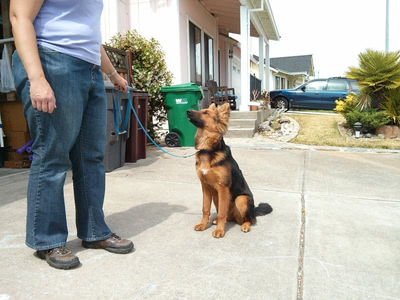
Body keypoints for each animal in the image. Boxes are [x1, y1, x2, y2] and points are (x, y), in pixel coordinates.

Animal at [187, 103, 272, 239]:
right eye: (201, 110)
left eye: (206, 113)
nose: (188, 111)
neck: (208, 150)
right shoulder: (205, 186)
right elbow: (205, 209)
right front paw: (203, 225)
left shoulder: (223, 188)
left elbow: (222, 212)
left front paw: (219, 230)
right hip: (216, 197)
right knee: (228, 217)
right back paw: (217, 220)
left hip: (241, 199)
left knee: (250, 219)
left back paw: (245, 225)